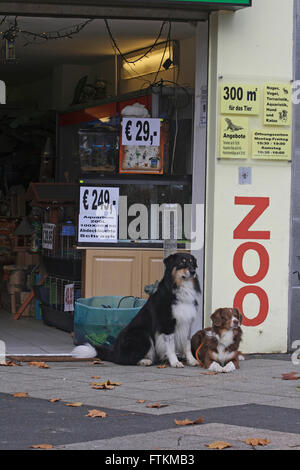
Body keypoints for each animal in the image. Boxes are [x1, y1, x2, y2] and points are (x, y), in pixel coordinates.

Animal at [71, 253, 200, 368]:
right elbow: (171, 345)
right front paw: (175, 362)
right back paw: (144, 361)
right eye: (182, 262)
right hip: (142, 334)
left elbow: (187, 344)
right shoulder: (167, 324)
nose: (193, 271)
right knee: (124, 359)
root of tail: (114, 352)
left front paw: (192, 360)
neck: (179, 287)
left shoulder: (187, 322)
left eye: (192, 262)